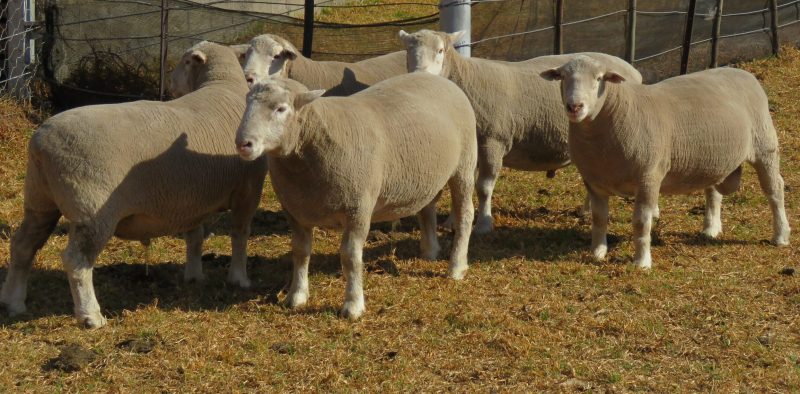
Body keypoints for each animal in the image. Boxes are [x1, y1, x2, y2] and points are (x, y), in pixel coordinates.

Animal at [0, 41, 268, 328]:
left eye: (184, 61)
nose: (170, 82)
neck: (221, 83)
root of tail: (40, 143)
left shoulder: (194, 198)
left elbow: (195, 237)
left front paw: (195, 275)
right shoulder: (248, 189)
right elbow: (240, 234)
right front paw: (239, 278)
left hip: (40, 199)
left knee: (22, 246)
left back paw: (13, 302)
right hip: (93, 210)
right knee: (76, 261)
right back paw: (90, 316)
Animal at [234, 73, 478, 320]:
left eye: (281, 109)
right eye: (247, 103)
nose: (243, 144)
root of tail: (437, 78)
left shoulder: (358, 207)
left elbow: (350, 257)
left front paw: (353, 305)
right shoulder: (294, 209)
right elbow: (300, 251)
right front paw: (296, 296)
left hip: (464, 165)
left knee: (465, 215)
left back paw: (456, 267)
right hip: (426, 175)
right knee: (427, 207)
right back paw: (430, 251)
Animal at [400, 30, 644, 235]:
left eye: (441, 50)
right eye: (408, 50)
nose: (419, 75)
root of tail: (633, 71)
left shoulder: (494, 139)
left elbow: (484, 187)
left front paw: (484, 224)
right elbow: (462, 185)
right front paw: (452, 221)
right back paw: (586, 210)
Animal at [540, 55, 792, 268]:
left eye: (599, 78)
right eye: (562, 77)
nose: (574, 106)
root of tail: (743, 73)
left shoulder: (648, 176)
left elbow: (641, 222)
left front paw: (641, 262)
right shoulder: (593, 180)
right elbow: (599, 218)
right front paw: (597, 253)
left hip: (765, 146)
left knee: (775, 190)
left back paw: (780, 235)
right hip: (713, 158)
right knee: (713, 191)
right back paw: (711, 228)